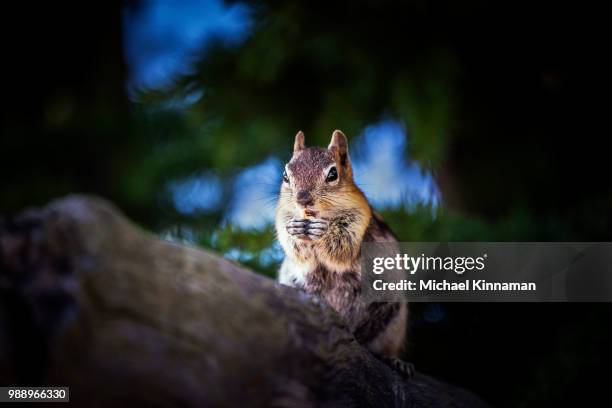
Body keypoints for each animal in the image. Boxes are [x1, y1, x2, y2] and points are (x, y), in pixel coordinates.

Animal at [276, 130, 412, 376]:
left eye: (333, 174)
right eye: (285, 175)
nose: (303, 200)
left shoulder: (358, 219)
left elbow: (343, 249)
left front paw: (323, 231)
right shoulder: (283, 216)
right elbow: (294, 248)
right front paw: (296, 231)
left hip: (394, 318)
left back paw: (396, 361)